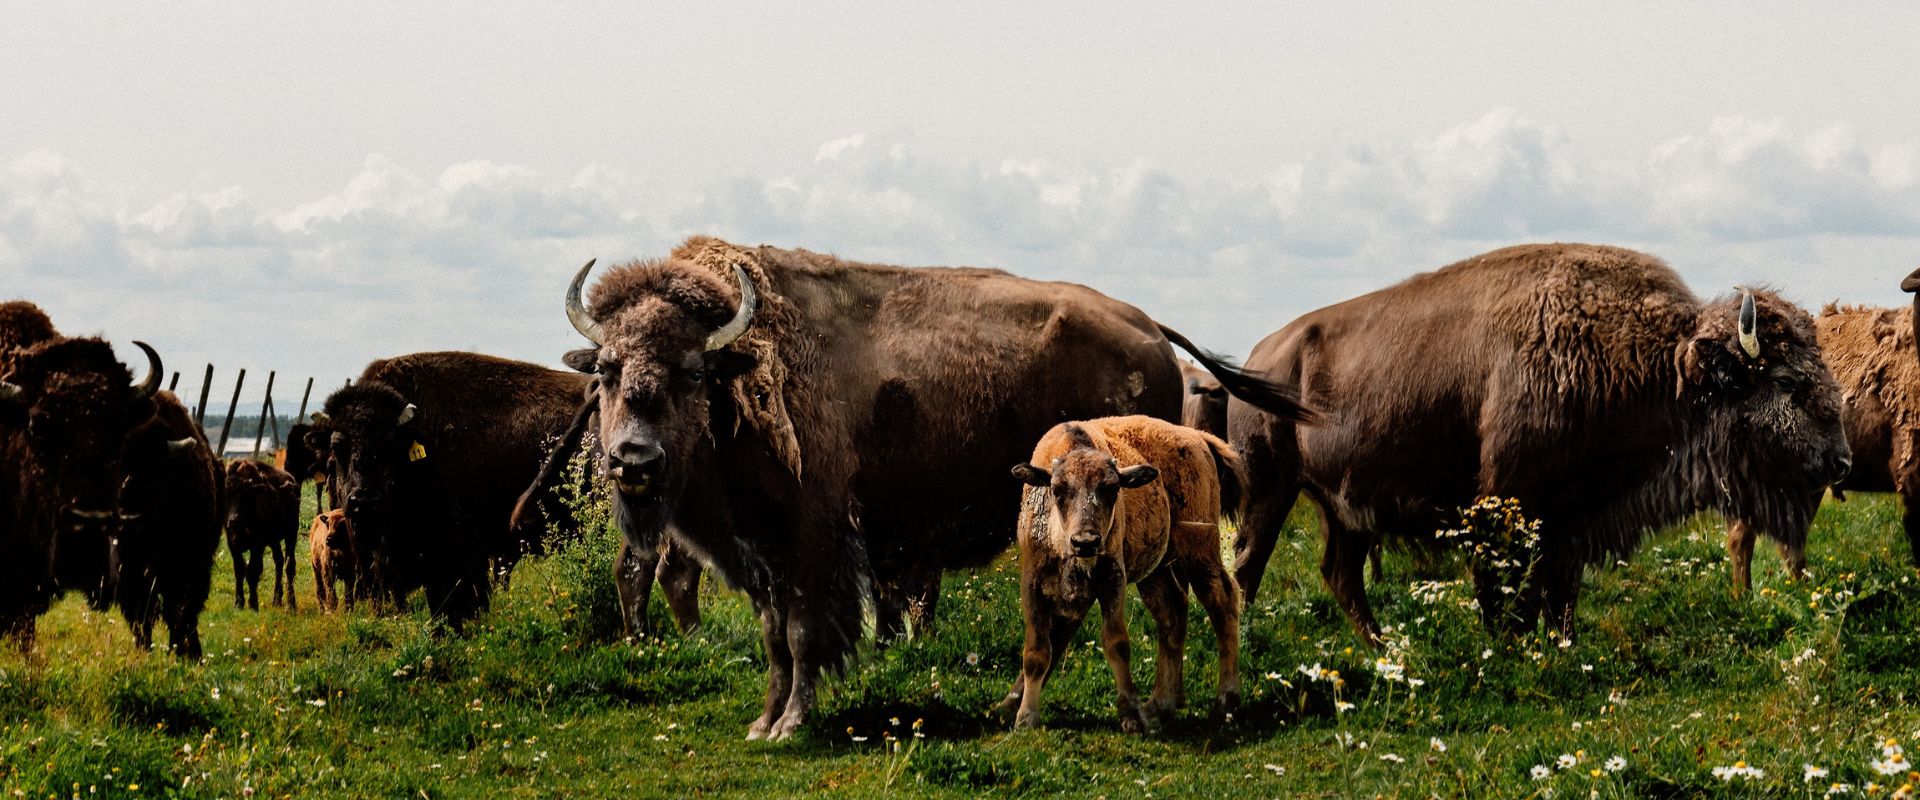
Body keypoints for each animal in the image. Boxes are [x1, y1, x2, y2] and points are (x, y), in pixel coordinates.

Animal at [223, 458, 301, 606]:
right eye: (227, 495)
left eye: (246, 496)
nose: (235, 520)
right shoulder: (233, 545)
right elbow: (239, 570)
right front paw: (238, 603)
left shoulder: (257, 546)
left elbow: (252, 571)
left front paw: (253, 603)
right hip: (274, 541)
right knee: (279, 561)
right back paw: (276, 600)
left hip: (291, 533)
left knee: (289, 565)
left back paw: (291, 604)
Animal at [990, 414, 1244, 732]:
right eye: (1058, 490)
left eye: (1111, 489)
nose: (1086, 541)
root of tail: (1198, 438)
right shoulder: (1033, 583)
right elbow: (1037, 651)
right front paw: (1024, 717)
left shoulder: (1112, 579)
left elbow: (1116, 642)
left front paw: (1131, 717)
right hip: (1157, 570)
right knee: (1172, 614)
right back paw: (1159, 705)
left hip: (1199, 552)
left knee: (1223, 603)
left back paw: (1225, 703)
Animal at [1228, 243, 1843, 640]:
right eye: (1786, 382)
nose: (1839, 459)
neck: (1659, 366)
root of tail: (1263, 351)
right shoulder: (1506, 510)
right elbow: (1505, 591)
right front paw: (1511, 647)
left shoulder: (1571, 524)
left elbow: (1560, 593)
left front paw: (1561, 644)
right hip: (1269, 492)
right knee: (1248, 566)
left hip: (1343, 510)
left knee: (1339, 573)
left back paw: (1384, 649)